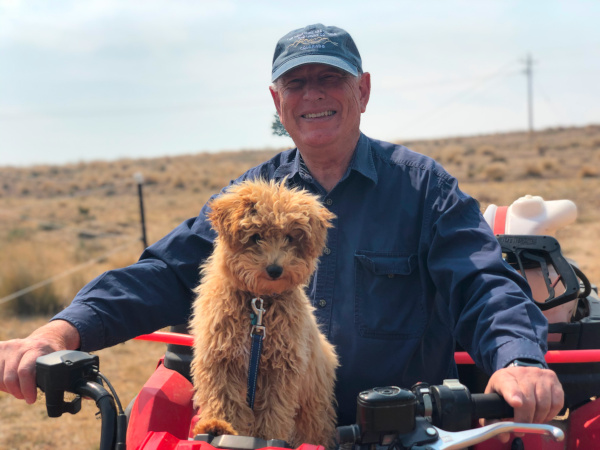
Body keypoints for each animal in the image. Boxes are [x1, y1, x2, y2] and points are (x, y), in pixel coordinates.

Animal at [190, 178, 340, 446]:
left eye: (290, 237)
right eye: (256, 236)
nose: (275, 269)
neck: (258, 301)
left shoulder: (281, 368)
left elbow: (273, 412)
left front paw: (267, 438)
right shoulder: (220, 361)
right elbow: (225, 404)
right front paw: (220, 427)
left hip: (313, 403)